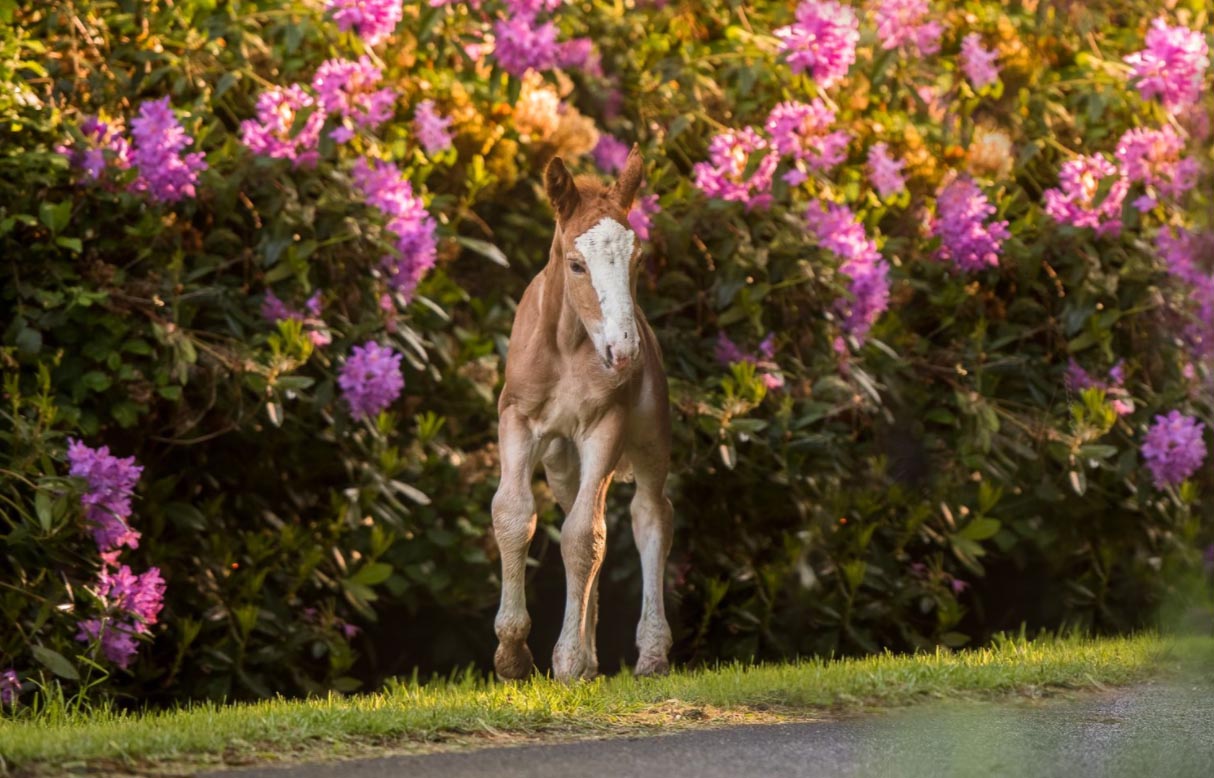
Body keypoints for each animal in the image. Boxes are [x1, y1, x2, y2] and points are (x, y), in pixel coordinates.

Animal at [490, 145, 674, 679]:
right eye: (576, 264)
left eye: (637, 260)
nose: (624, 351)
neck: (568, 346)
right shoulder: (516, 420)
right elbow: (514, 514)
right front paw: (513, 654)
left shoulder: (604, 427)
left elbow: (581, 537)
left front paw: (568, 660)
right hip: (561, 462)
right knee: (584, 510)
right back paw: (593, 659)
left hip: (649, 439)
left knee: (651, 515)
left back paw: (651, 653)